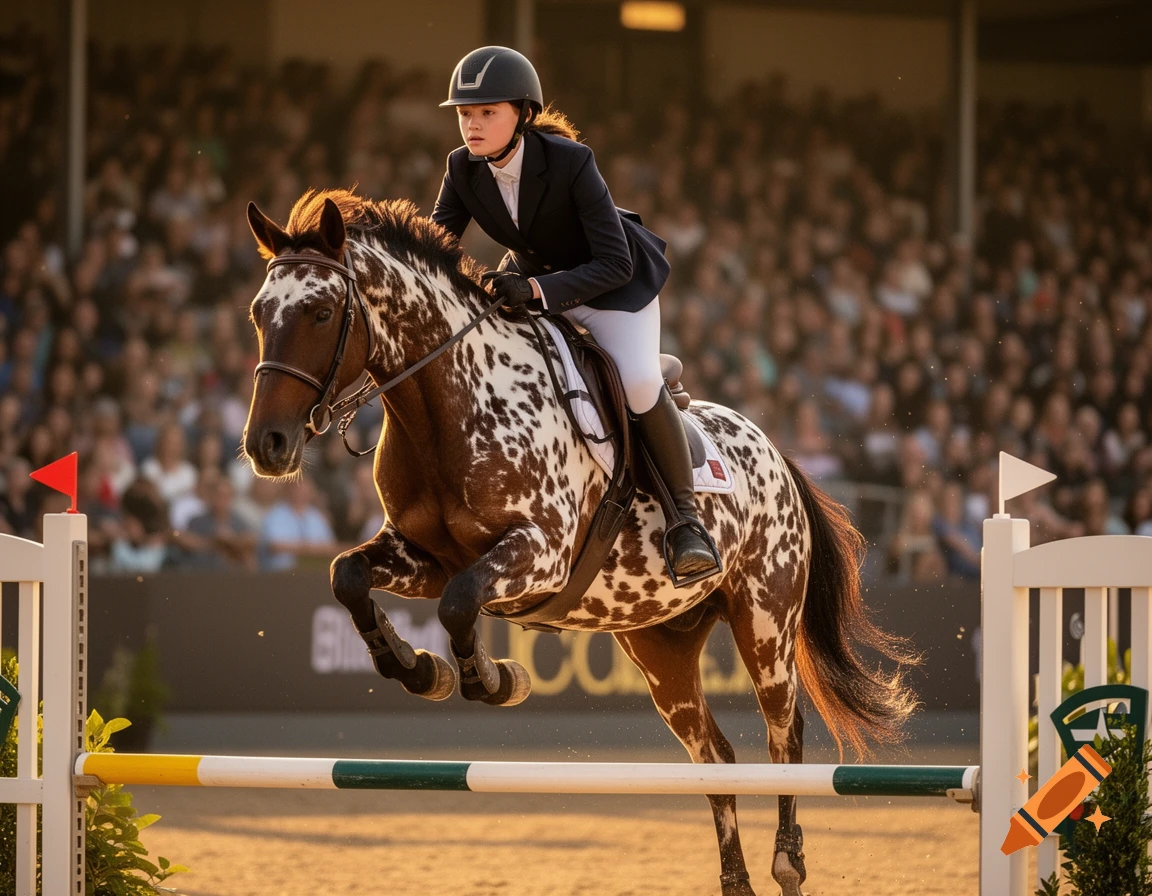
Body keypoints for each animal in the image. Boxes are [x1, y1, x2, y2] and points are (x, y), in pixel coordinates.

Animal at [242, 188, 918, 896]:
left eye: (320, 313)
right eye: (259, 312)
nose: (267, 446)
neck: (448, 403)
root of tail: (775, 451)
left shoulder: (540, 553)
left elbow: (459, 603)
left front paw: (492, 678)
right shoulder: (423, 557)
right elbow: (350, 576)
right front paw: (419, 668)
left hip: (765, 621)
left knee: (783, 735)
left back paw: (787, 861)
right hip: (659, 645)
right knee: (715, 756)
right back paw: (736, 881)